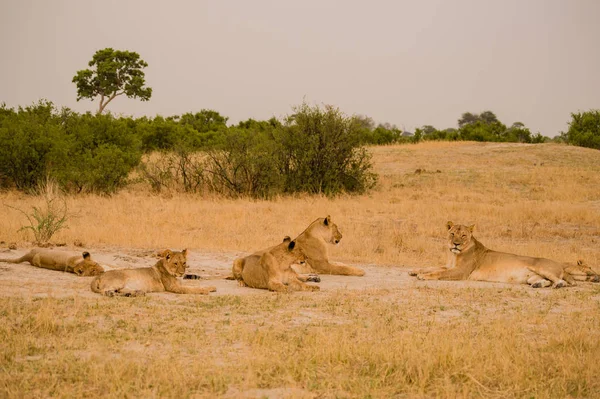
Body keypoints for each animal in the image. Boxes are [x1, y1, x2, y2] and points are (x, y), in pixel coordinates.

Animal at [410, 223, 596, 290]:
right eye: (452, 233)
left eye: (463, 235)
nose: (455, 244)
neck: (454, 255)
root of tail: (559, 264)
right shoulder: (449, 266)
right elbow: (432, 266)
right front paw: (414, 270)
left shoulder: (460, 272)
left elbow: (438, 272)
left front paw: (423, 276)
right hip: (532, 276)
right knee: (545, 281)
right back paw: (538, 285)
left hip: (542, 267)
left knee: (562, 281)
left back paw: (558, 285)